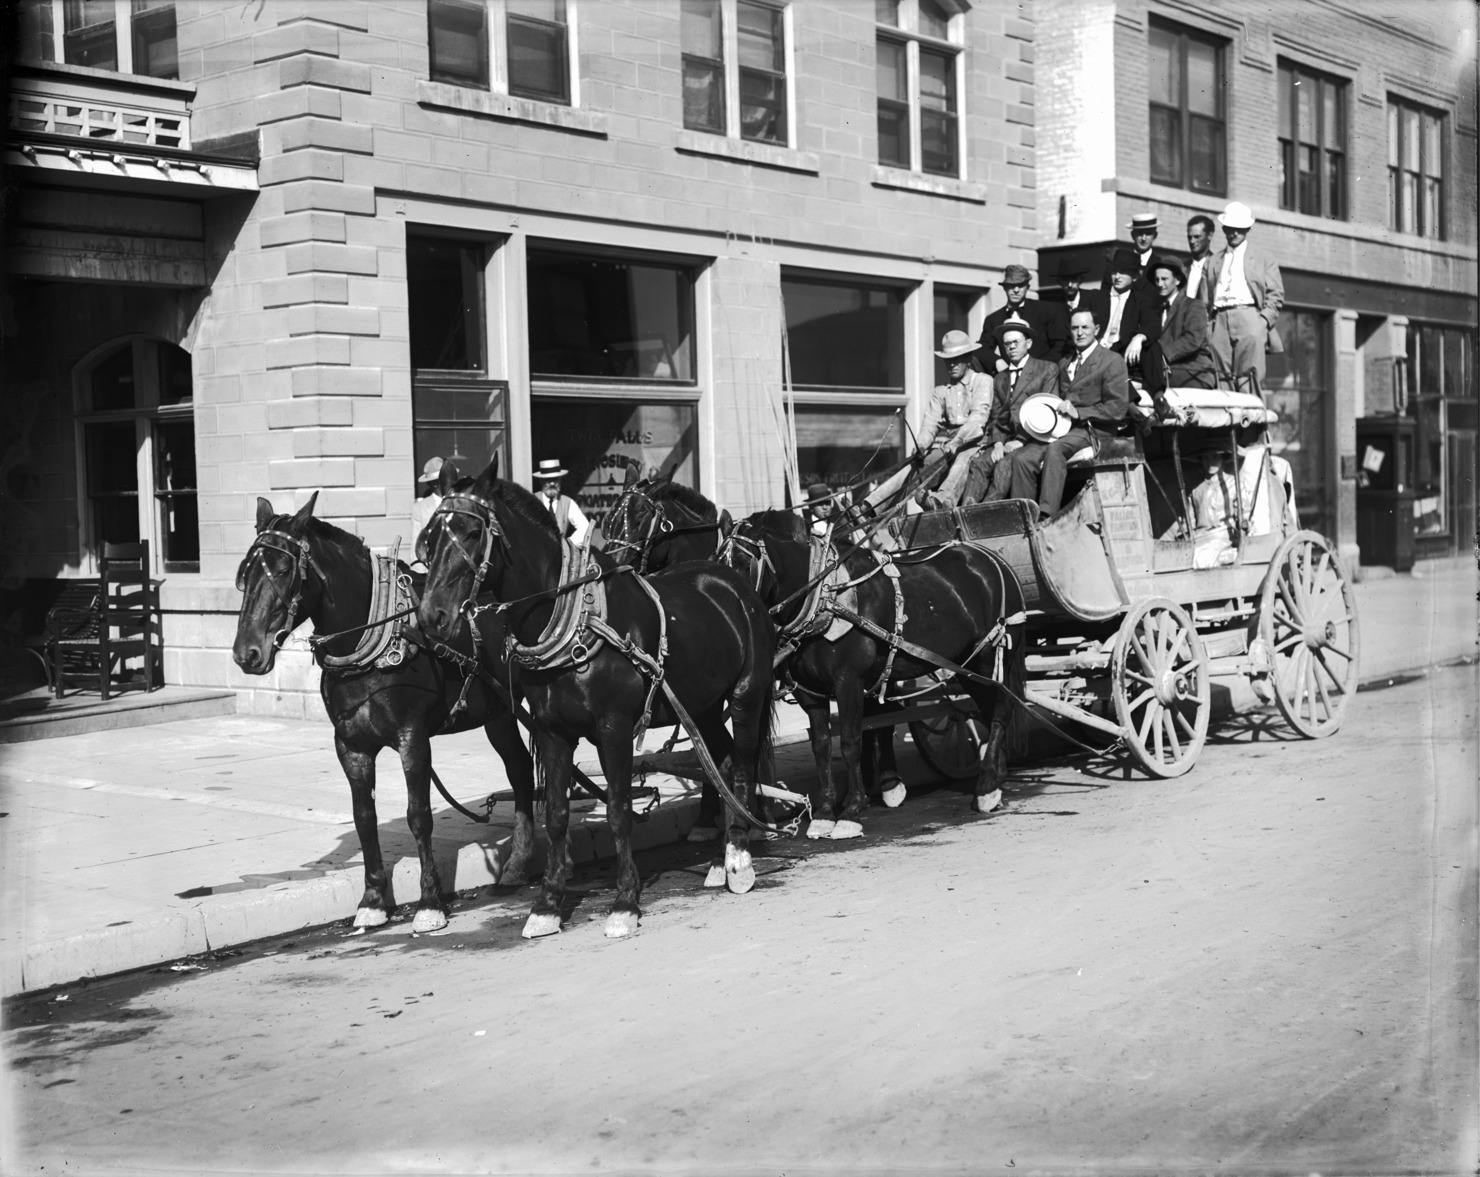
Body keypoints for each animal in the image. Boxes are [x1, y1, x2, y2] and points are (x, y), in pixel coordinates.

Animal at [232, 493, 538, 933]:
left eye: (285, 569)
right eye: (244, 574)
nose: (247, 653)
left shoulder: (413, 738)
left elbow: (418, 816)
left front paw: (430, 904)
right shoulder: (351, 745)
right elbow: (364, 818)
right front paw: (373, 900)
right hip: (497, 710)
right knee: (520, 768)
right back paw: (518, 862)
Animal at [416, 457, 776, 939]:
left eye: (473, 533)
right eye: (429, 538)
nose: (431, 616)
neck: (572, 620)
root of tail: (733, 581)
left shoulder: (614, 728)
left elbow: (619, 810)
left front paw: (625, 902)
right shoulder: (553, 731)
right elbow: (556, 815)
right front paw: (547, 905)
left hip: (745, 694)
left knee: (741, 762)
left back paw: (738, 858)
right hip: (701, 704)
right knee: (718, 758)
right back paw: (721, 857)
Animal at [723, 509, 1026, 836]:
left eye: (744, 563)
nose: (734, 617)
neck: (824, 597)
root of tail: (992, 558)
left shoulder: (849, 683)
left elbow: (851, 742)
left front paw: (852, 811)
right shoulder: (810, 692)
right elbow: (821, 746)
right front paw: (825, 812)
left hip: (987, 657)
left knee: (1000, 711)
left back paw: (986, 788)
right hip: (965, 666)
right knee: (988, 710)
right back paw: (996, 776)